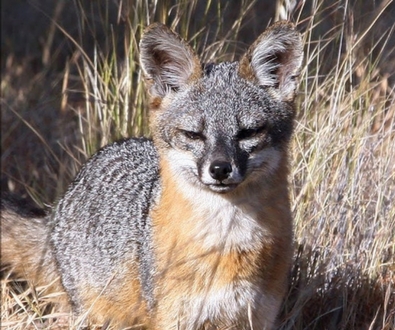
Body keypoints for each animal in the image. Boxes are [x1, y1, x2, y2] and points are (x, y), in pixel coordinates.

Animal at [0, 21, 304, 330]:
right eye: (193, 134)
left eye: (248, 133)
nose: (219, 169)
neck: (228, 243)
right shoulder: (175, 318)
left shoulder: (259, 316)